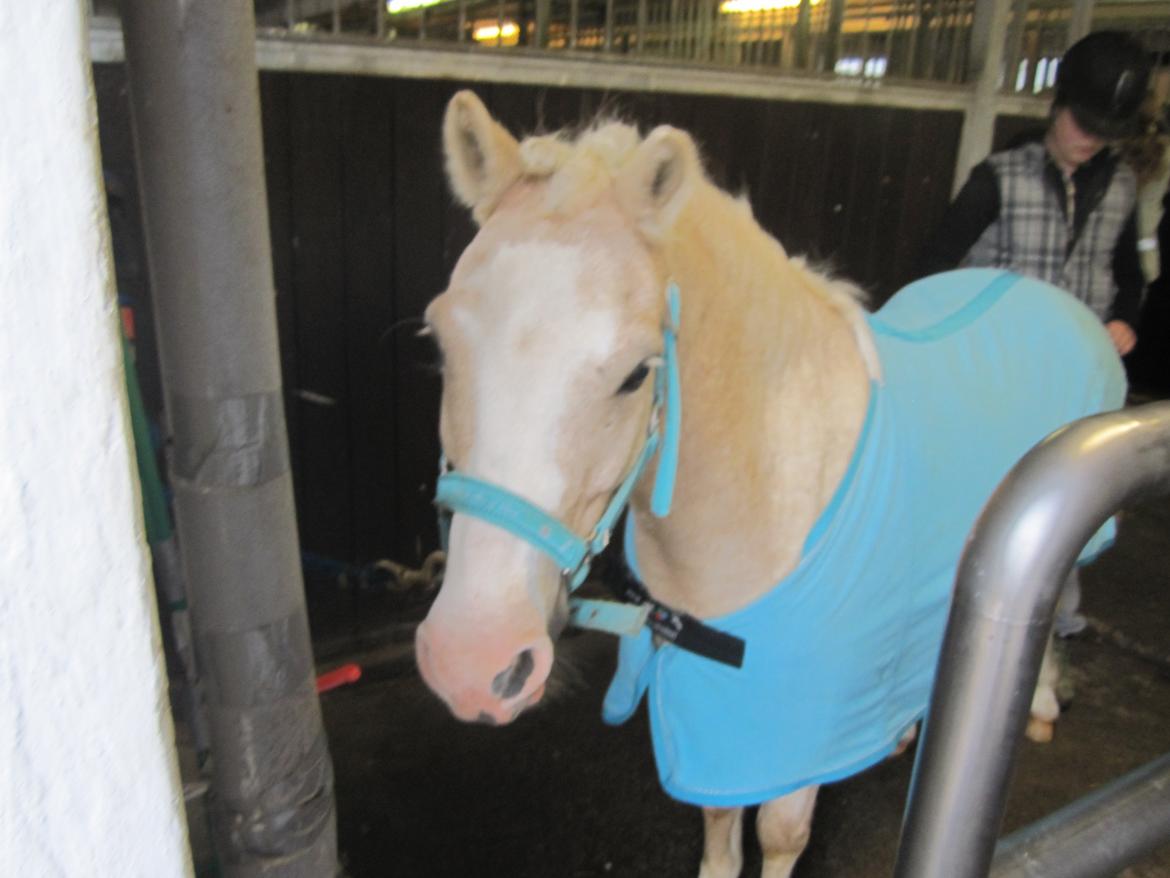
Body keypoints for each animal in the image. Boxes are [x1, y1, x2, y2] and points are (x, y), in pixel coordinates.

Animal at [413, 90, 1125, 877]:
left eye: (636, 373)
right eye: (439, 345)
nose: (472, 663)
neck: (770, 490)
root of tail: (1050, 292)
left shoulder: (798, 729)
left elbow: (781, 833)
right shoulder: (717, 705)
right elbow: (721, 824)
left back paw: (1041, 704)